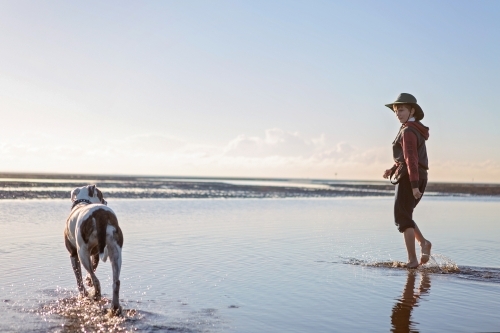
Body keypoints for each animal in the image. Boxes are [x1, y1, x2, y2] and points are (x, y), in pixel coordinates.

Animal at [64, 184, 123, 312]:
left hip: (82, 253)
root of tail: (101, 214)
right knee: (116, 281)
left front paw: (83, 293)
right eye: (101, 195)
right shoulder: (95, 254)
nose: (106, 201)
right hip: (115, 251)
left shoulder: (73, 254)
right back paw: (115, 308)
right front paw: (88, 281)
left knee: (96, 279)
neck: (83, 202)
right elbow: (94, 266)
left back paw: (95, 295)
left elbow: (79, 277)